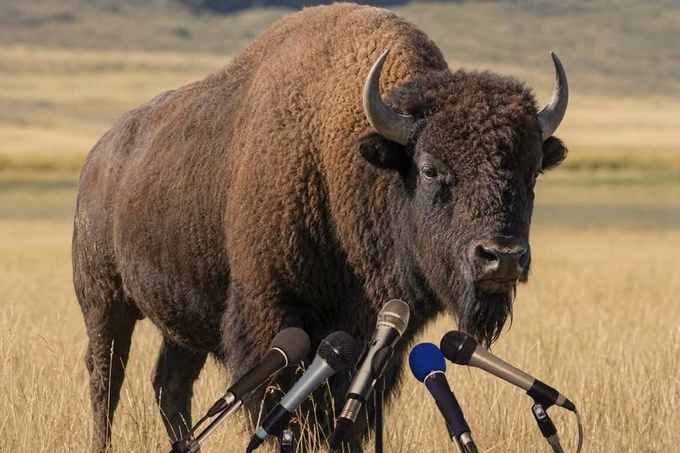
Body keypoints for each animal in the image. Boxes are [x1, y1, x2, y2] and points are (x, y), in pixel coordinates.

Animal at [72, 3, 568, 451]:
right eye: (430, 169)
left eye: (532, 172)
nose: (502, 257)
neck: (346, 162)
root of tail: (99, 154)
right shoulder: (273, 316)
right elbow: (289, 407)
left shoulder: (376, 336)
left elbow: (347, 413)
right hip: (104, 301)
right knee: (106, 377)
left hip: (183, 324)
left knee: (169, 385)